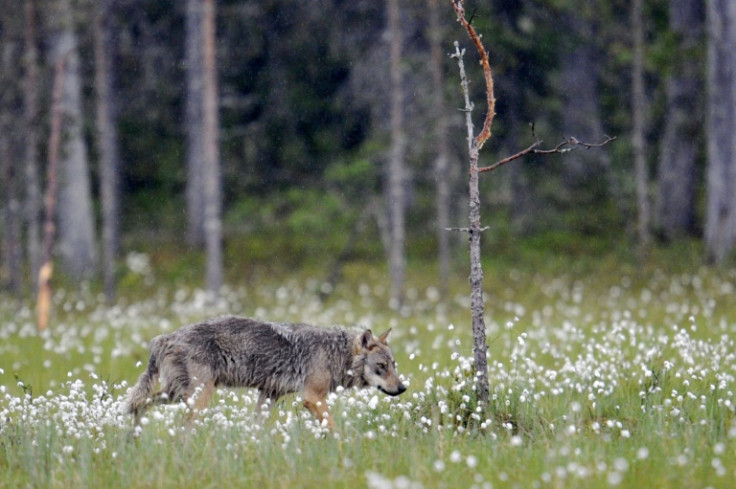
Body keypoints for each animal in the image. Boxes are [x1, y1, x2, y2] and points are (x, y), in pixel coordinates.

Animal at [123, 316, 406, 428]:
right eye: (381, 367)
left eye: (393, 365)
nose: (403, 388)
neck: (335, 351)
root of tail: (165, 338)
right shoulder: (312, 397)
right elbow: (334, 427)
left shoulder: (269, 394)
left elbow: (257, 426)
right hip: (198, 397)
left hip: (175, 395)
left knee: (140, 405)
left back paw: (134, 437)